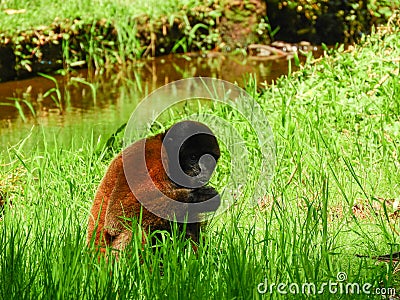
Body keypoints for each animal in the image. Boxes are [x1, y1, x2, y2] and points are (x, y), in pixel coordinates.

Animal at [86, 119, 222, 253]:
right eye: (193, 157)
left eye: (209, 160)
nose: (204, 172)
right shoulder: (152, 159)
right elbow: (116, 217)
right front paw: (200, 197)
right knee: (135, 228)